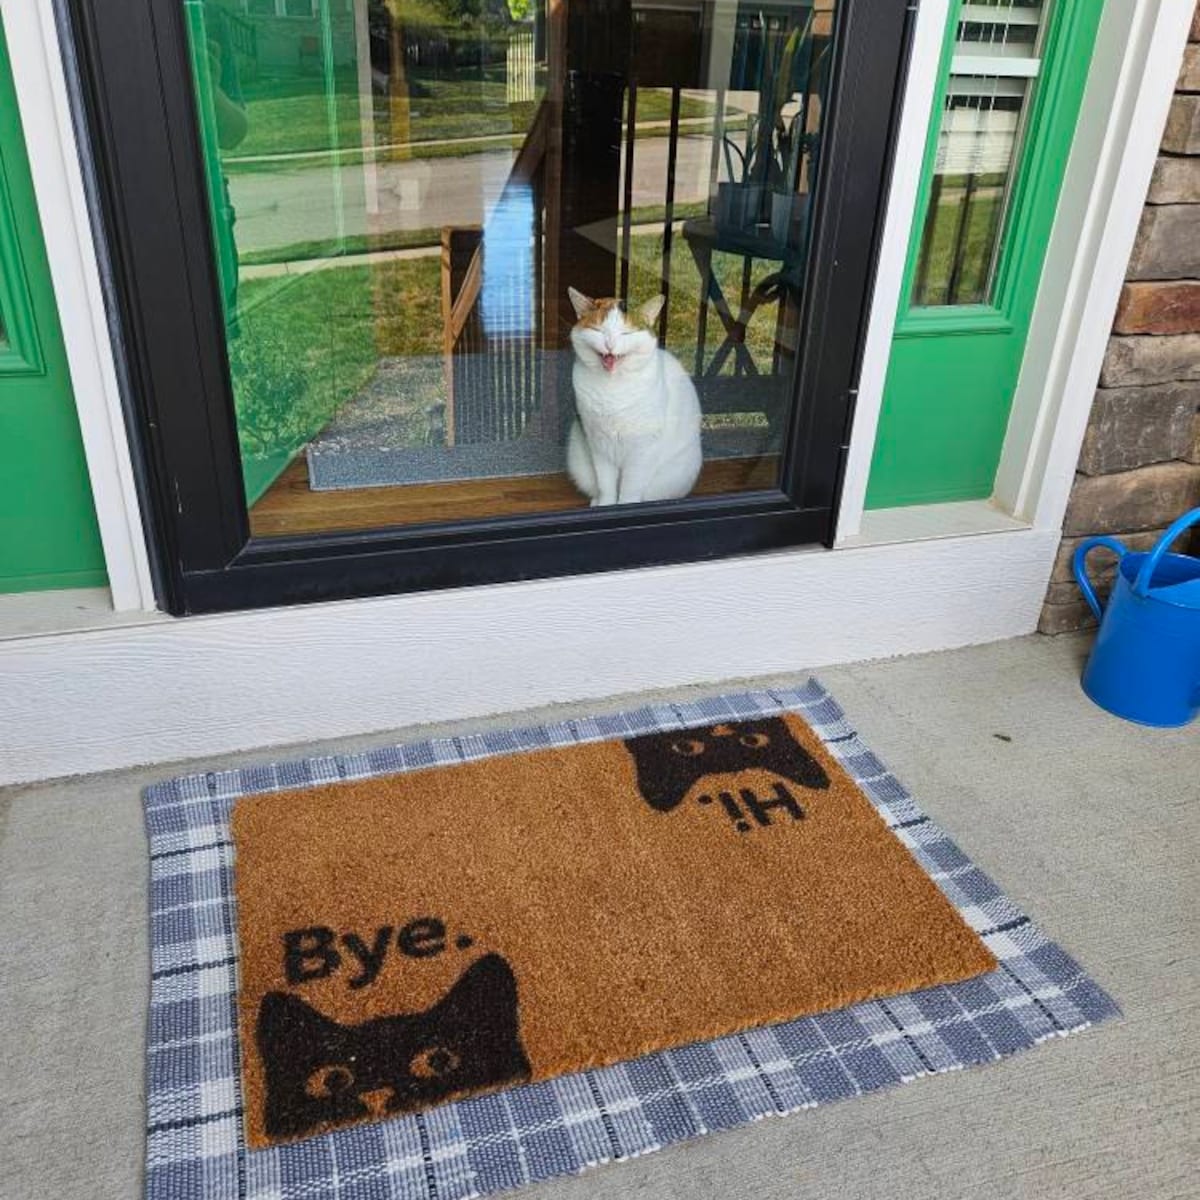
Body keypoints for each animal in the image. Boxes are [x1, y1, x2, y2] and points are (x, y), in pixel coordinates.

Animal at [568, 290, 705, 506]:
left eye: (626, 333)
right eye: (598, 331)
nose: (610, 344)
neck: (612, 390)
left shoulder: (642, 449)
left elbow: (630, 490)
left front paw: (624, 506)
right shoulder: (599, 445)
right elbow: (606, 485)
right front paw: (605, 506)